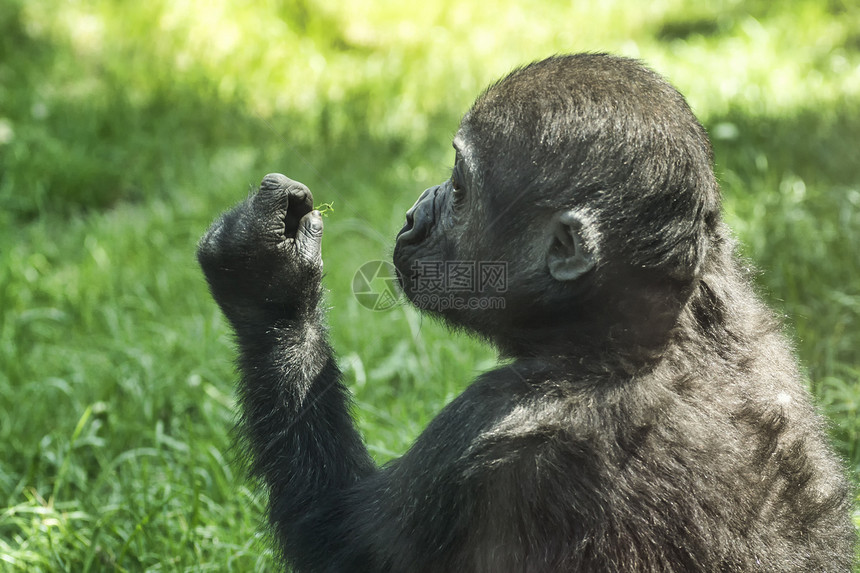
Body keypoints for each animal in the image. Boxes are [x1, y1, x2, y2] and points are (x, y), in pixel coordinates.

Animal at [200, 52, 852, 568]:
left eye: (459, 187)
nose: (413, 215)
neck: (639, 335)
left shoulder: (484, 428)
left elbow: (338, 540)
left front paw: (267, 283)